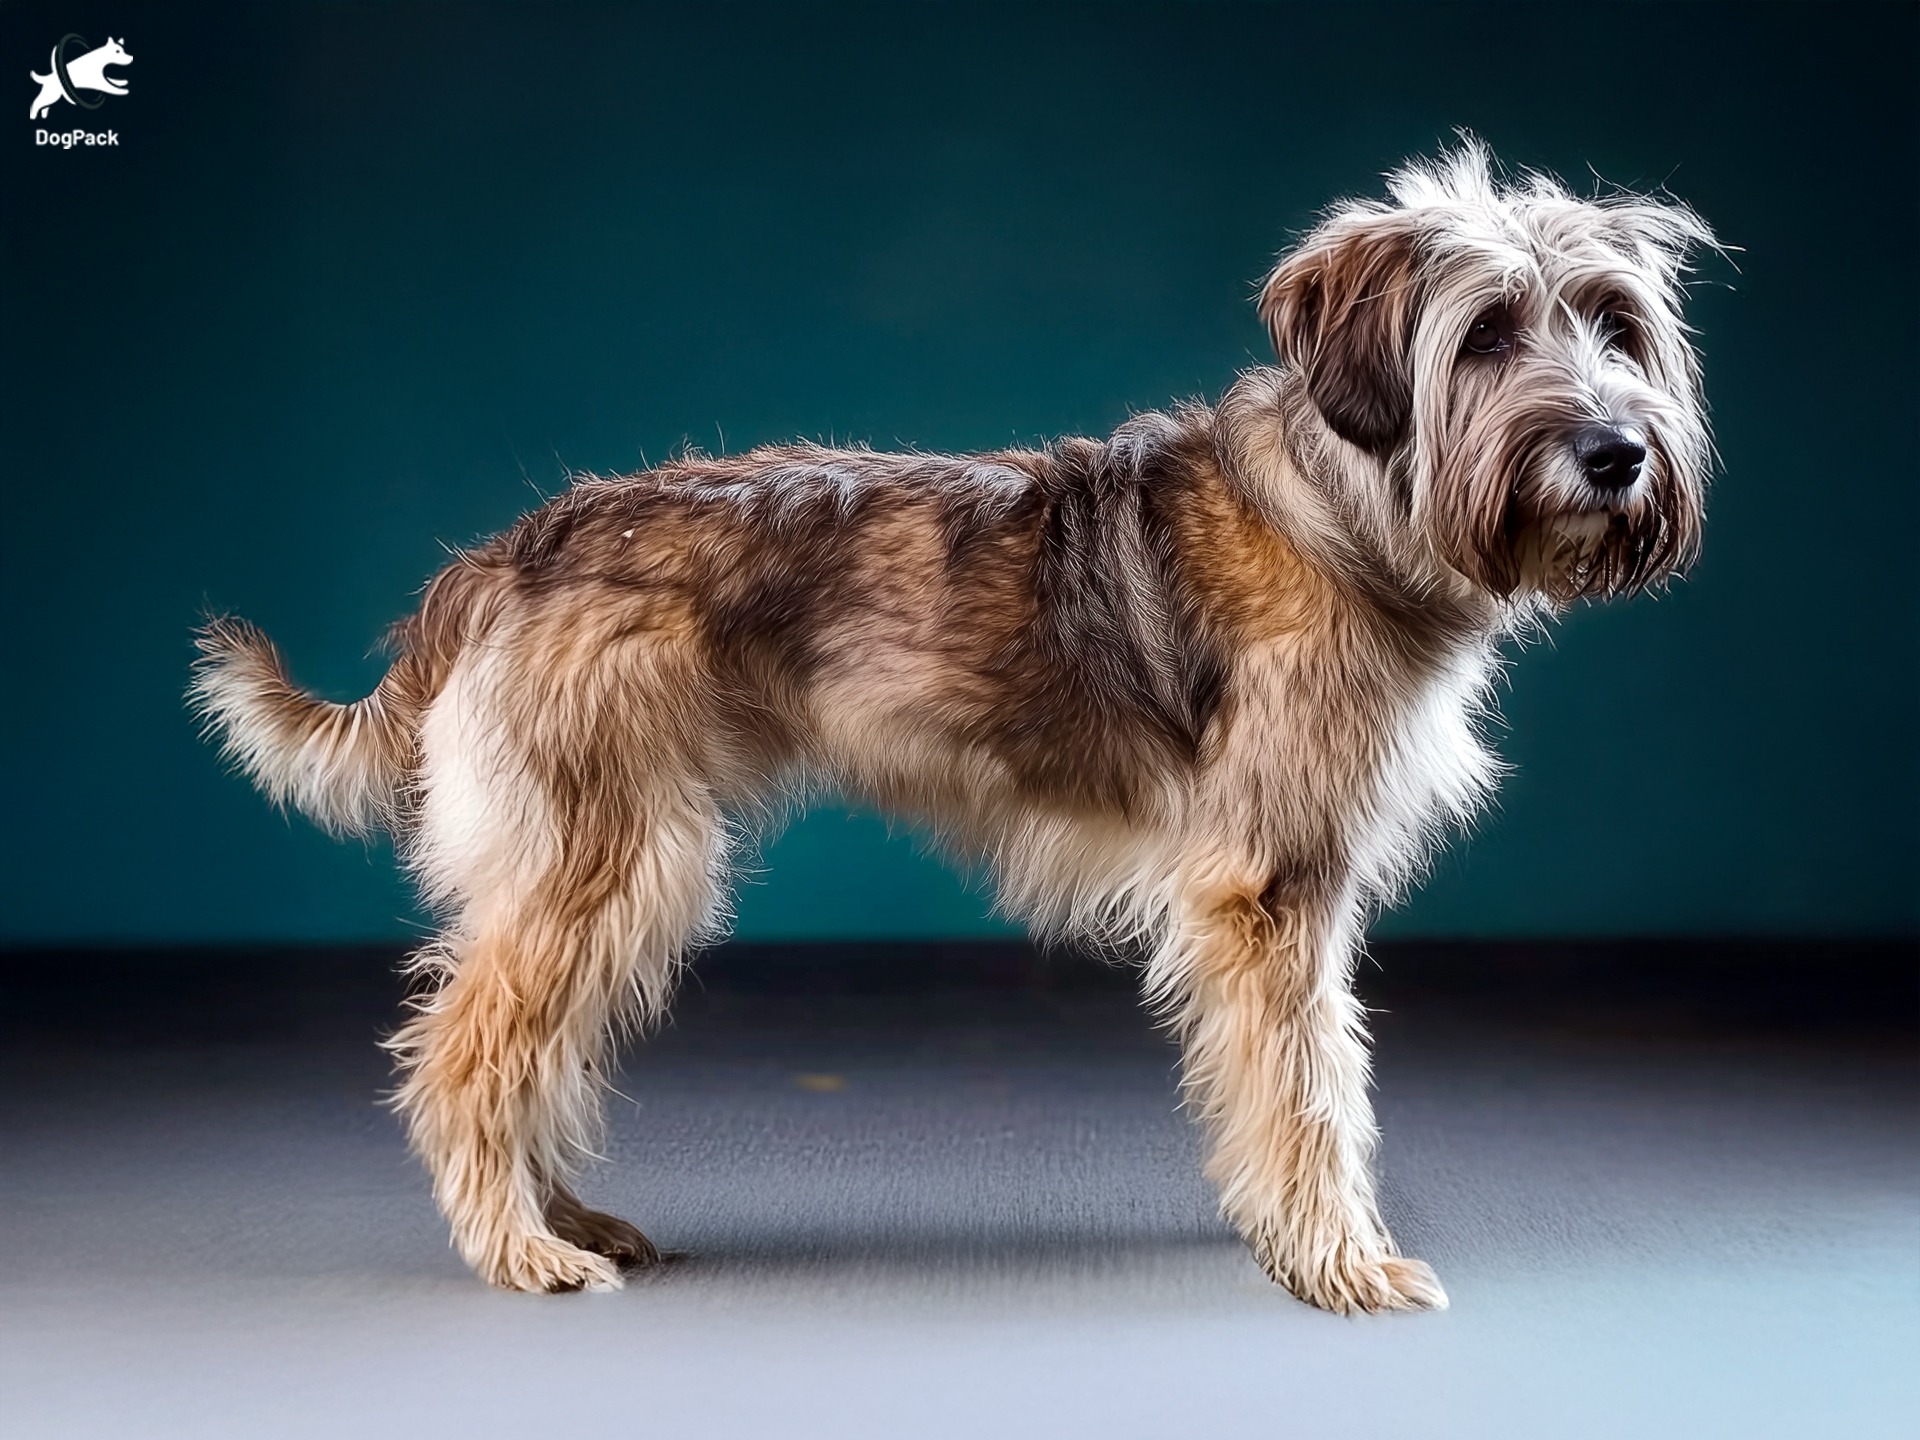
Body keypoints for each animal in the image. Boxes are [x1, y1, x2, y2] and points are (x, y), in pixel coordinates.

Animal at [198, 149, 1728, 1320]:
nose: (1617, 454)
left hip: (595, 875)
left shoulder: (1284, 899)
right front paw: (1341, 1265)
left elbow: (1291, 1082)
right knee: (464, 1057)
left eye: (1617, 326)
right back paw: (521, 1249)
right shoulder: (1272, 892)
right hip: (610, 862)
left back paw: (567, 1219)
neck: (1346, 513)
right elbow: (1313, 1087)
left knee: (520, 1051)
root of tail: (505, 554)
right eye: (1486, 334)